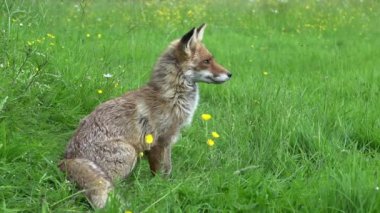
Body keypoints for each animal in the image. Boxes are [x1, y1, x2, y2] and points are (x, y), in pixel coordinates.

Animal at [59, 23, 232, 208]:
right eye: (207, 61)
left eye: (212, 59)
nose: (230, 74)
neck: (172, 96)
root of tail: (68, 158)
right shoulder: (158, 142)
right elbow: (160, 172)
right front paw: (160, 189)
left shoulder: (167, 142)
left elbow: (168, 169)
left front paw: (168, 186)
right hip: (129, 154)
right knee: (111, 183)